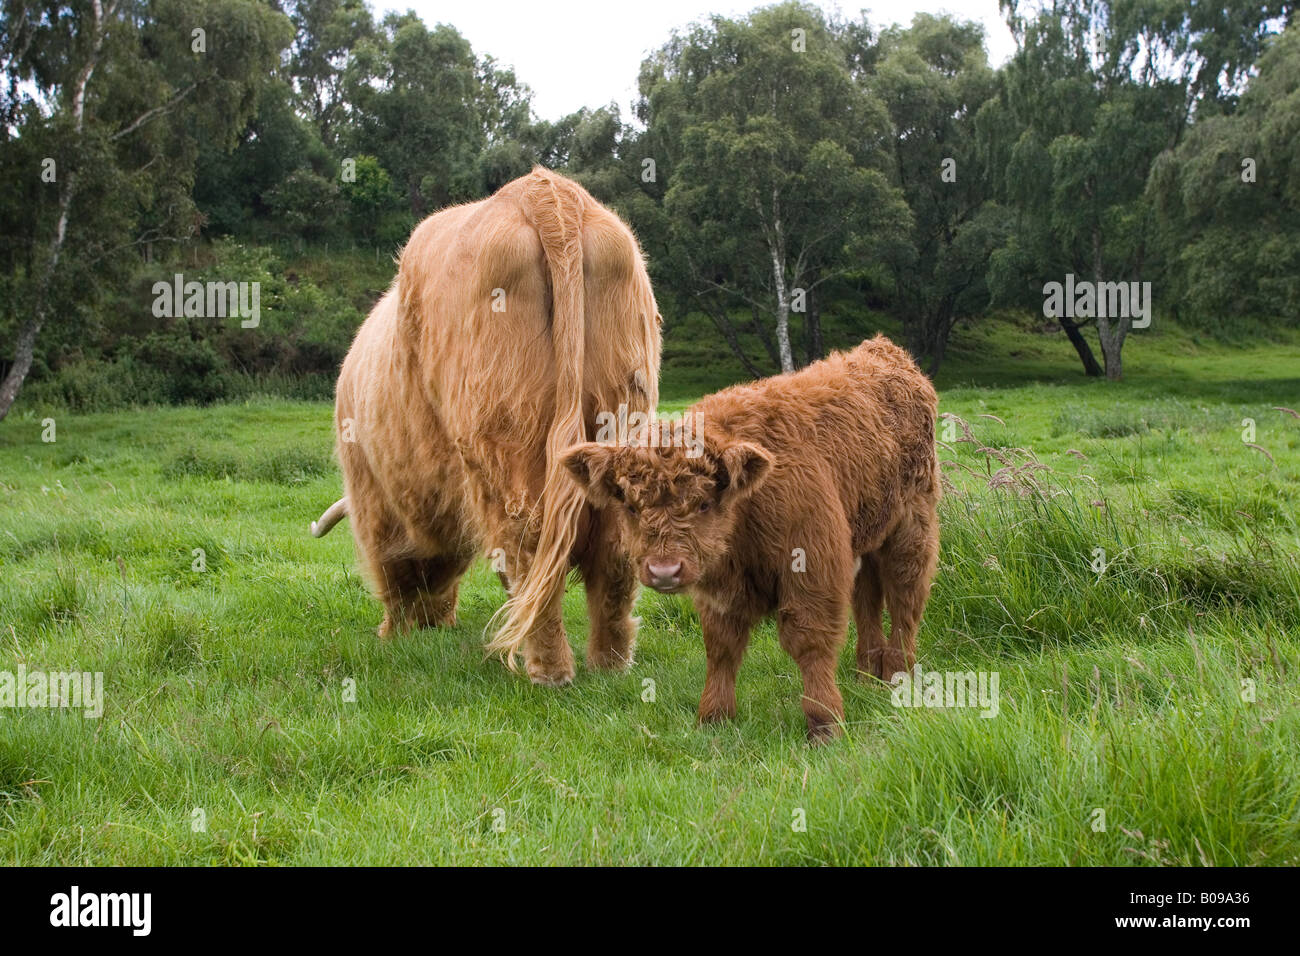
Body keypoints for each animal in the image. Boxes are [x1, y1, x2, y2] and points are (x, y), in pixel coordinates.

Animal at [311, 168, 662, 687]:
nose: (434, 624)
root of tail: (546, 194)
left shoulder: (371, 491)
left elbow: (391, 567)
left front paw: (393, 632)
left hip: (505, 441)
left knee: (529, 545)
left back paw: (547, 671)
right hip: (620, 425)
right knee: (613, 555)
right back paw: (610, 665)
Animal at [560, 336, 940, 740]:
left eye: (704, 503)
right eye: (631, 507)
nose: (665, 571)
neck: (742, 523)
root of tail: (884, 351)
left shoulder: (812, 566)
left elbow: (810, 641)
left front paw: (824, 722)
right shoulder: (720, 589)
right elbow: (721, 646)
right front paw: (714, 716)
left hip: (912, 528)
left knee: (905, 599)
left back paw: (898, 676)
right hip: (866, 537)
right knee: (868, 598)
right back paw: (868, 676)